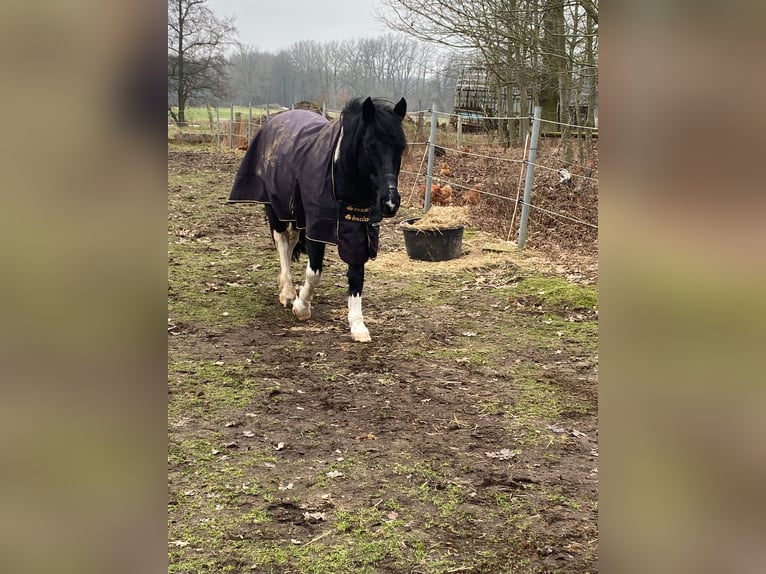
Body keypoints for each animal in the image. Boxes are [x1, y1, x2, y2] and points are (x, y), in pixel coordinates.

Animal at [228, 97, 407, 342]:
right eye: (370, 146)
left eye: (400, 148)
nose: (390, 202)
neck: (340, 173)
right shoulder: (317, 227)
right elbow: (314, 273)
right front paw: (301, 307)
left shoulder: (359, 231)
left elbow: (356, 276)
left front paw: (357, 325)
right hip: (276, 209)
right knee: (282, 243)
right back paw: (287, 292)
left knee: (291, 241)